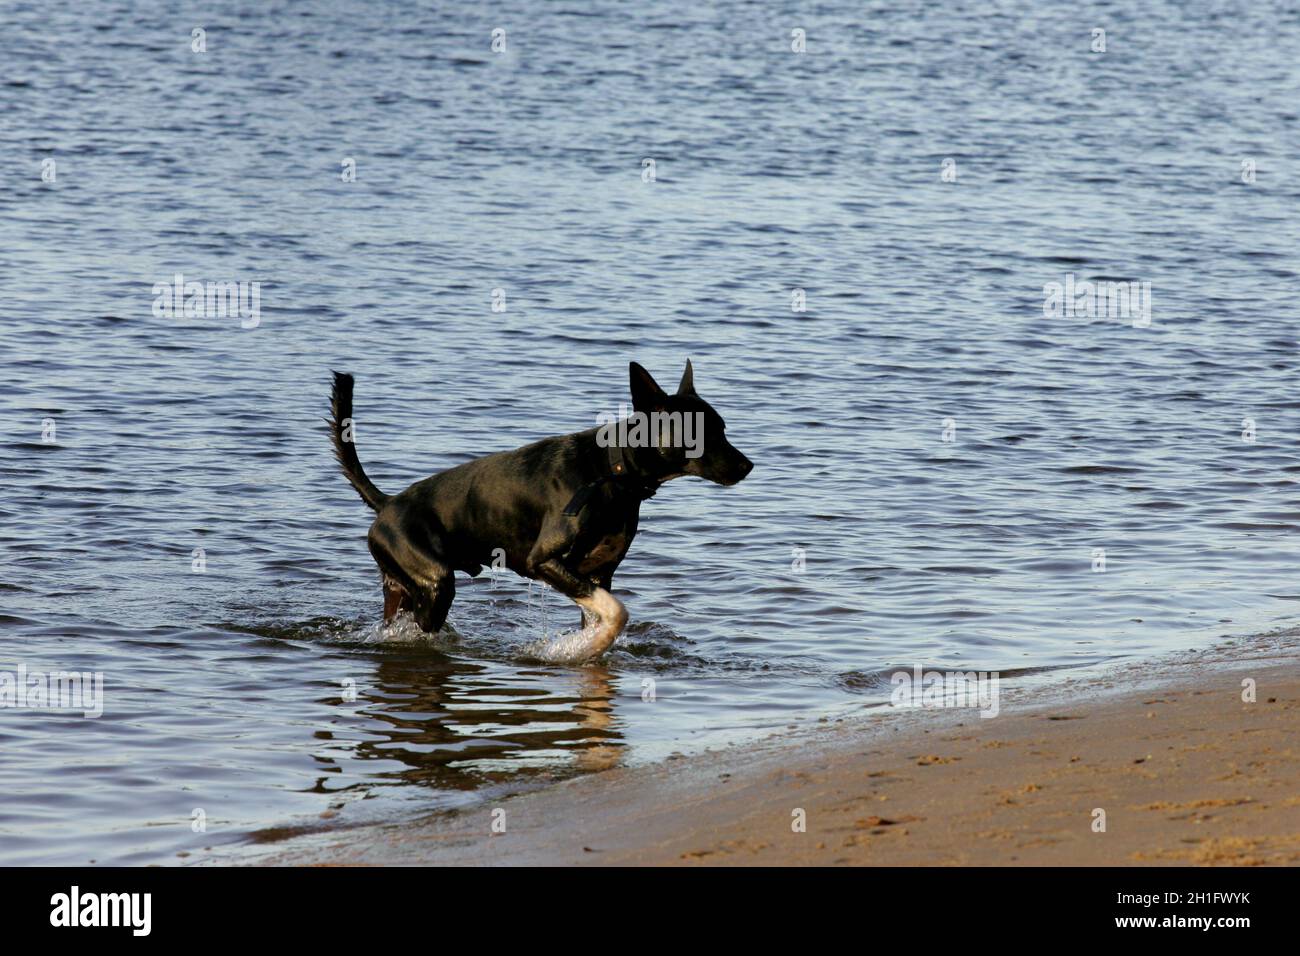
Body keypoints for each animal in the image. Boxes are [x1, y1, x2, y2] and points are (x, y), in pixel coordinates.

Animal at [327, 358, 754, 658]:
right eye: (703, 433)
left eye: (723, 428)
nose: (748, 466)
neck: (612, 474)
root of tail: (387, 502)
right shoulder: (544, 561)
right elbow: (617, 613)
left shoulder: (599, 574)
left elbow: (601, 615)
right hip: (434, 583)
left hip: (401, 587)